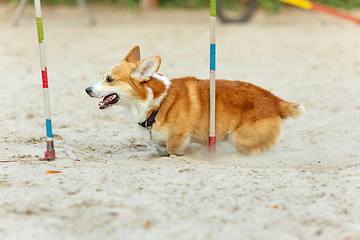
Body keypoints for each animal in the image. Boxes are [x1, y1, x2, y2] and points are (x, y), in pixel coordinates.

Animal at [86, 46, 306, 156]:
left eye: (109, 79)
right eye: (104, 77)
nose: (87, 89)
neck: (156, 102)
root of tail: (276, 101)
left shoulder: (179, 135)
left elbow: (173, 150)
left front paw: (191, 152)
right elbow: (159, 147)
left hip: (238, 137)